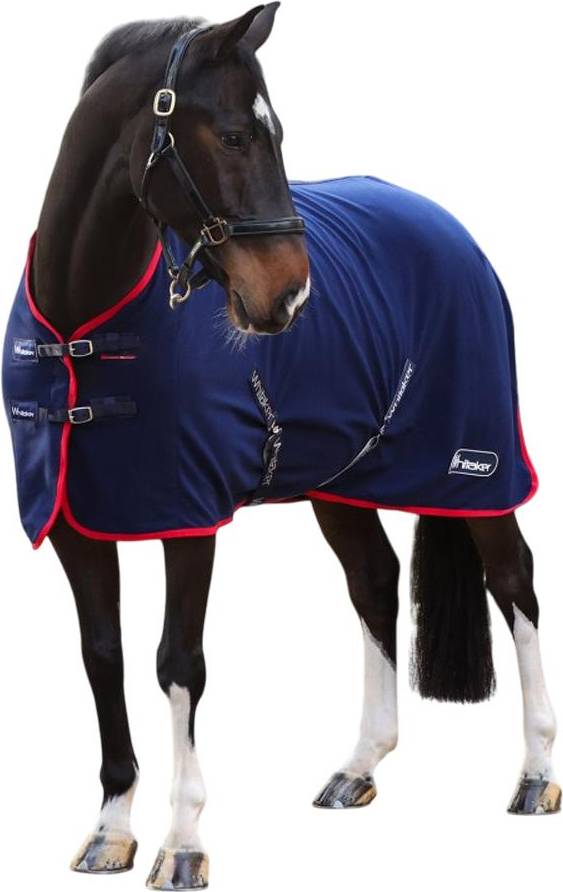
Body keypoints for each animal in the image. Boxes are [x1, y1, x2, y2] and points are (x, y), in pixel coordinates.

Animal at [2, 5, 559, 889]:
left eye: (276, 134)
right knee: (374, 581)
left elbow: (178, 662)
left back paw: (535, 775)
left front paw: (183, 843)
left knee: (513, 580)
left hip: (474, 466)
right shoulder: (72, 522)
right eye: (232, 136)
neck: (83, 320)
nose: (290, 295)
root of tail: (448, 227)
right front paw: (110, 830)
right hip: (344, 479)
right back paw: (358, 767)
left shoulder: (188, 516)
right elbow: (102, 655)